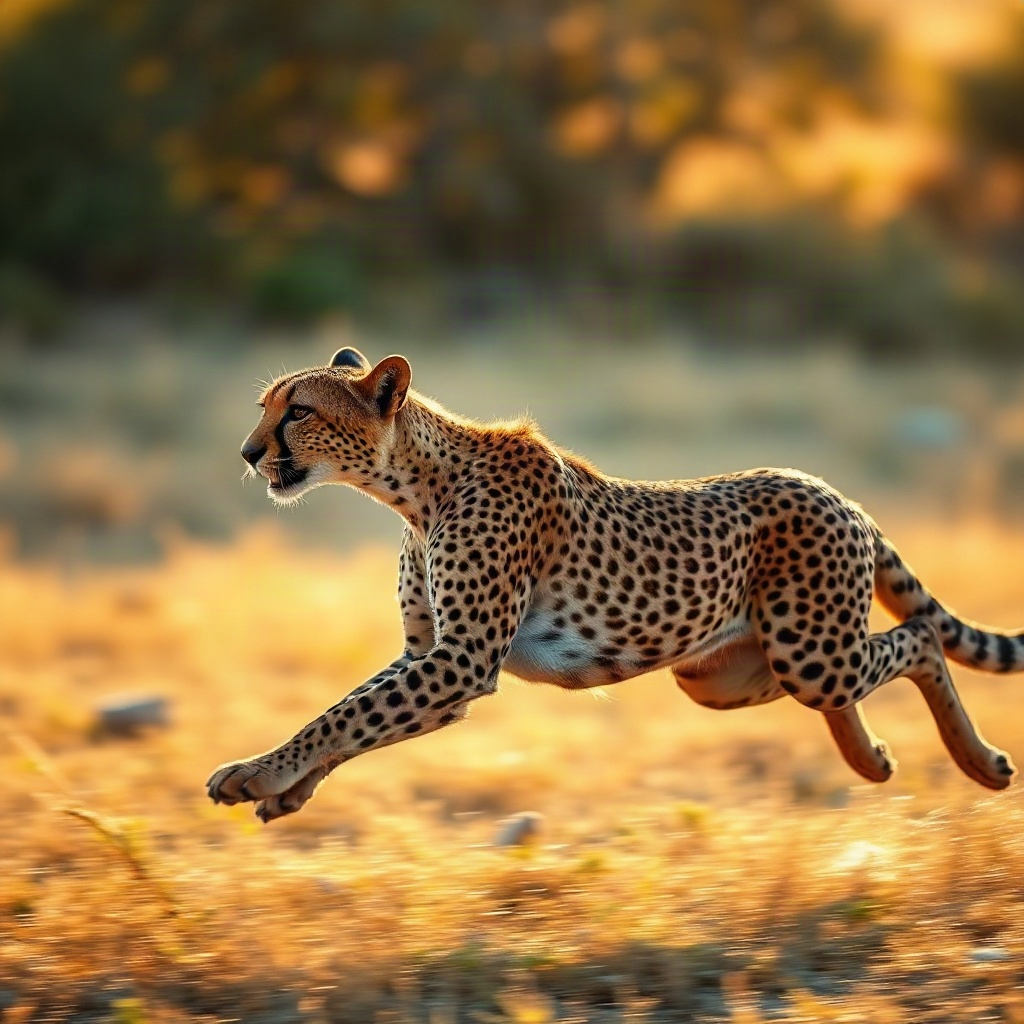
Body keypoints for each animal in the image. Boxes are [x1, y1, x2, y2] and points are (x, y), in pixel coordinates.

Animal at [207, 347, 1022, 822]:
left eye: (298, 411)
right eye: (266, 408)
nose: (247, 453)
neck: (413, 488)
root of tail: (830, 489)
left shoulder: (460, 661)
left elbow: (344, 714)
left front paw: (258, 772)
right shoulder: (429, 658)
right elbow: (354, 714)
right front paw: (288, 786)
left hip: (808, 649)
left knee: (919, 637)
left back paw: (978, 762)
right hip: (723, 675)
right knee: (857, 678)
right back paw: (872, 758)